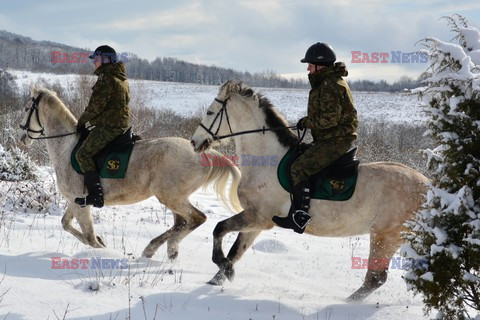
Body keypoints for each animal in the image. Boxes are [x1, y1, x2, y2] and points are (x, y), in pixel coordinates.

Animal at [18, 85, 242, 260]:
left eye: (28, 108)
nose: (22, 137)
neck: (67, 147)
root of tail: (203, 152)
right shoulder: (76, 201)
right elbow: (66, 225)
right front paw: (102, 241)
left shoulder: (79, 202)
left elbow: (89, 237)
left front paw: (102, 249)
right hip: (174, 198)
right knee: (181, 223)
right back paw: (159, 250)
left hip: (172, 197)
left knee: (196, 219)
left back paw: (164, 248)